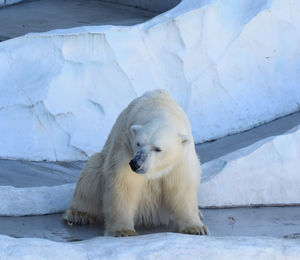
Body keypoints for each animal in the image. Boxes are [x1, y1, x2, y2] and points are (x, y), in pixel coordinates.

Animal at [62, 90, 209, 238]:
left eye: (158, 148)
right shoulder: (125, 145)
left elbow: (182, 187)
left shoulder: (181, 159)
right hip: (100, 166)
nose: (136, 164)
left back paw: (199, 213)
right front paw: (123, 231)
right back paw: (79, 214)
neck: (158, 106)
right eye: (138, 143)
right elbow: (123, 184)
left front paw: (196, 228)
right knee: (90, 175)